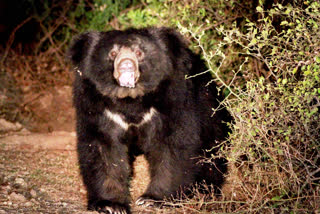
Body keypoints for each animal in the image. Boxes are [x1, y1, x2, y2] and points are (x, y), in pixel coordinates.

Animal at [67, 27, 231, 214]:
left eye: (139, 52)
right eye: (113, 53)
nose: (126, 65)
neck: (130, 99)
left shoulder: (172, 100)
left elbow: (172, 147)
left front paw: (152, 200)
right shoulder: (99, 107)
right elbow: (103, 148)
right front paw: (111, 205)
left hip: (208, 107)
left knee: (212, 149)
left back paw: (206, 190)